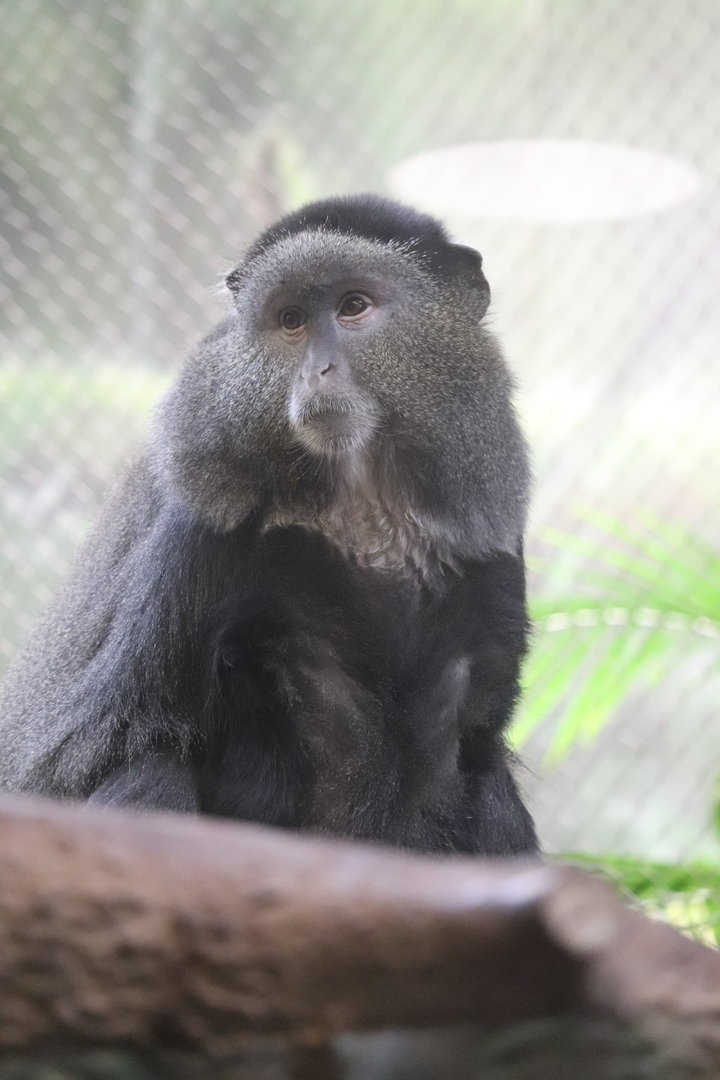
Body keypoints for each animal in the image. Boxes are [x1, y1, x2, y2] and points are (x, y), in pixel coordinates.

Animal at [0, 194, 537, 855]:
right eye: (291, 320)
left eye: (353, 306)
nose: (317, 371)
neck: (362, 504)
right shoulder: (204, 520)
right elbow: (89, 747)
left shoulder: (487, 530)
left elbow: (467, 753)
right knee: (152, 772)